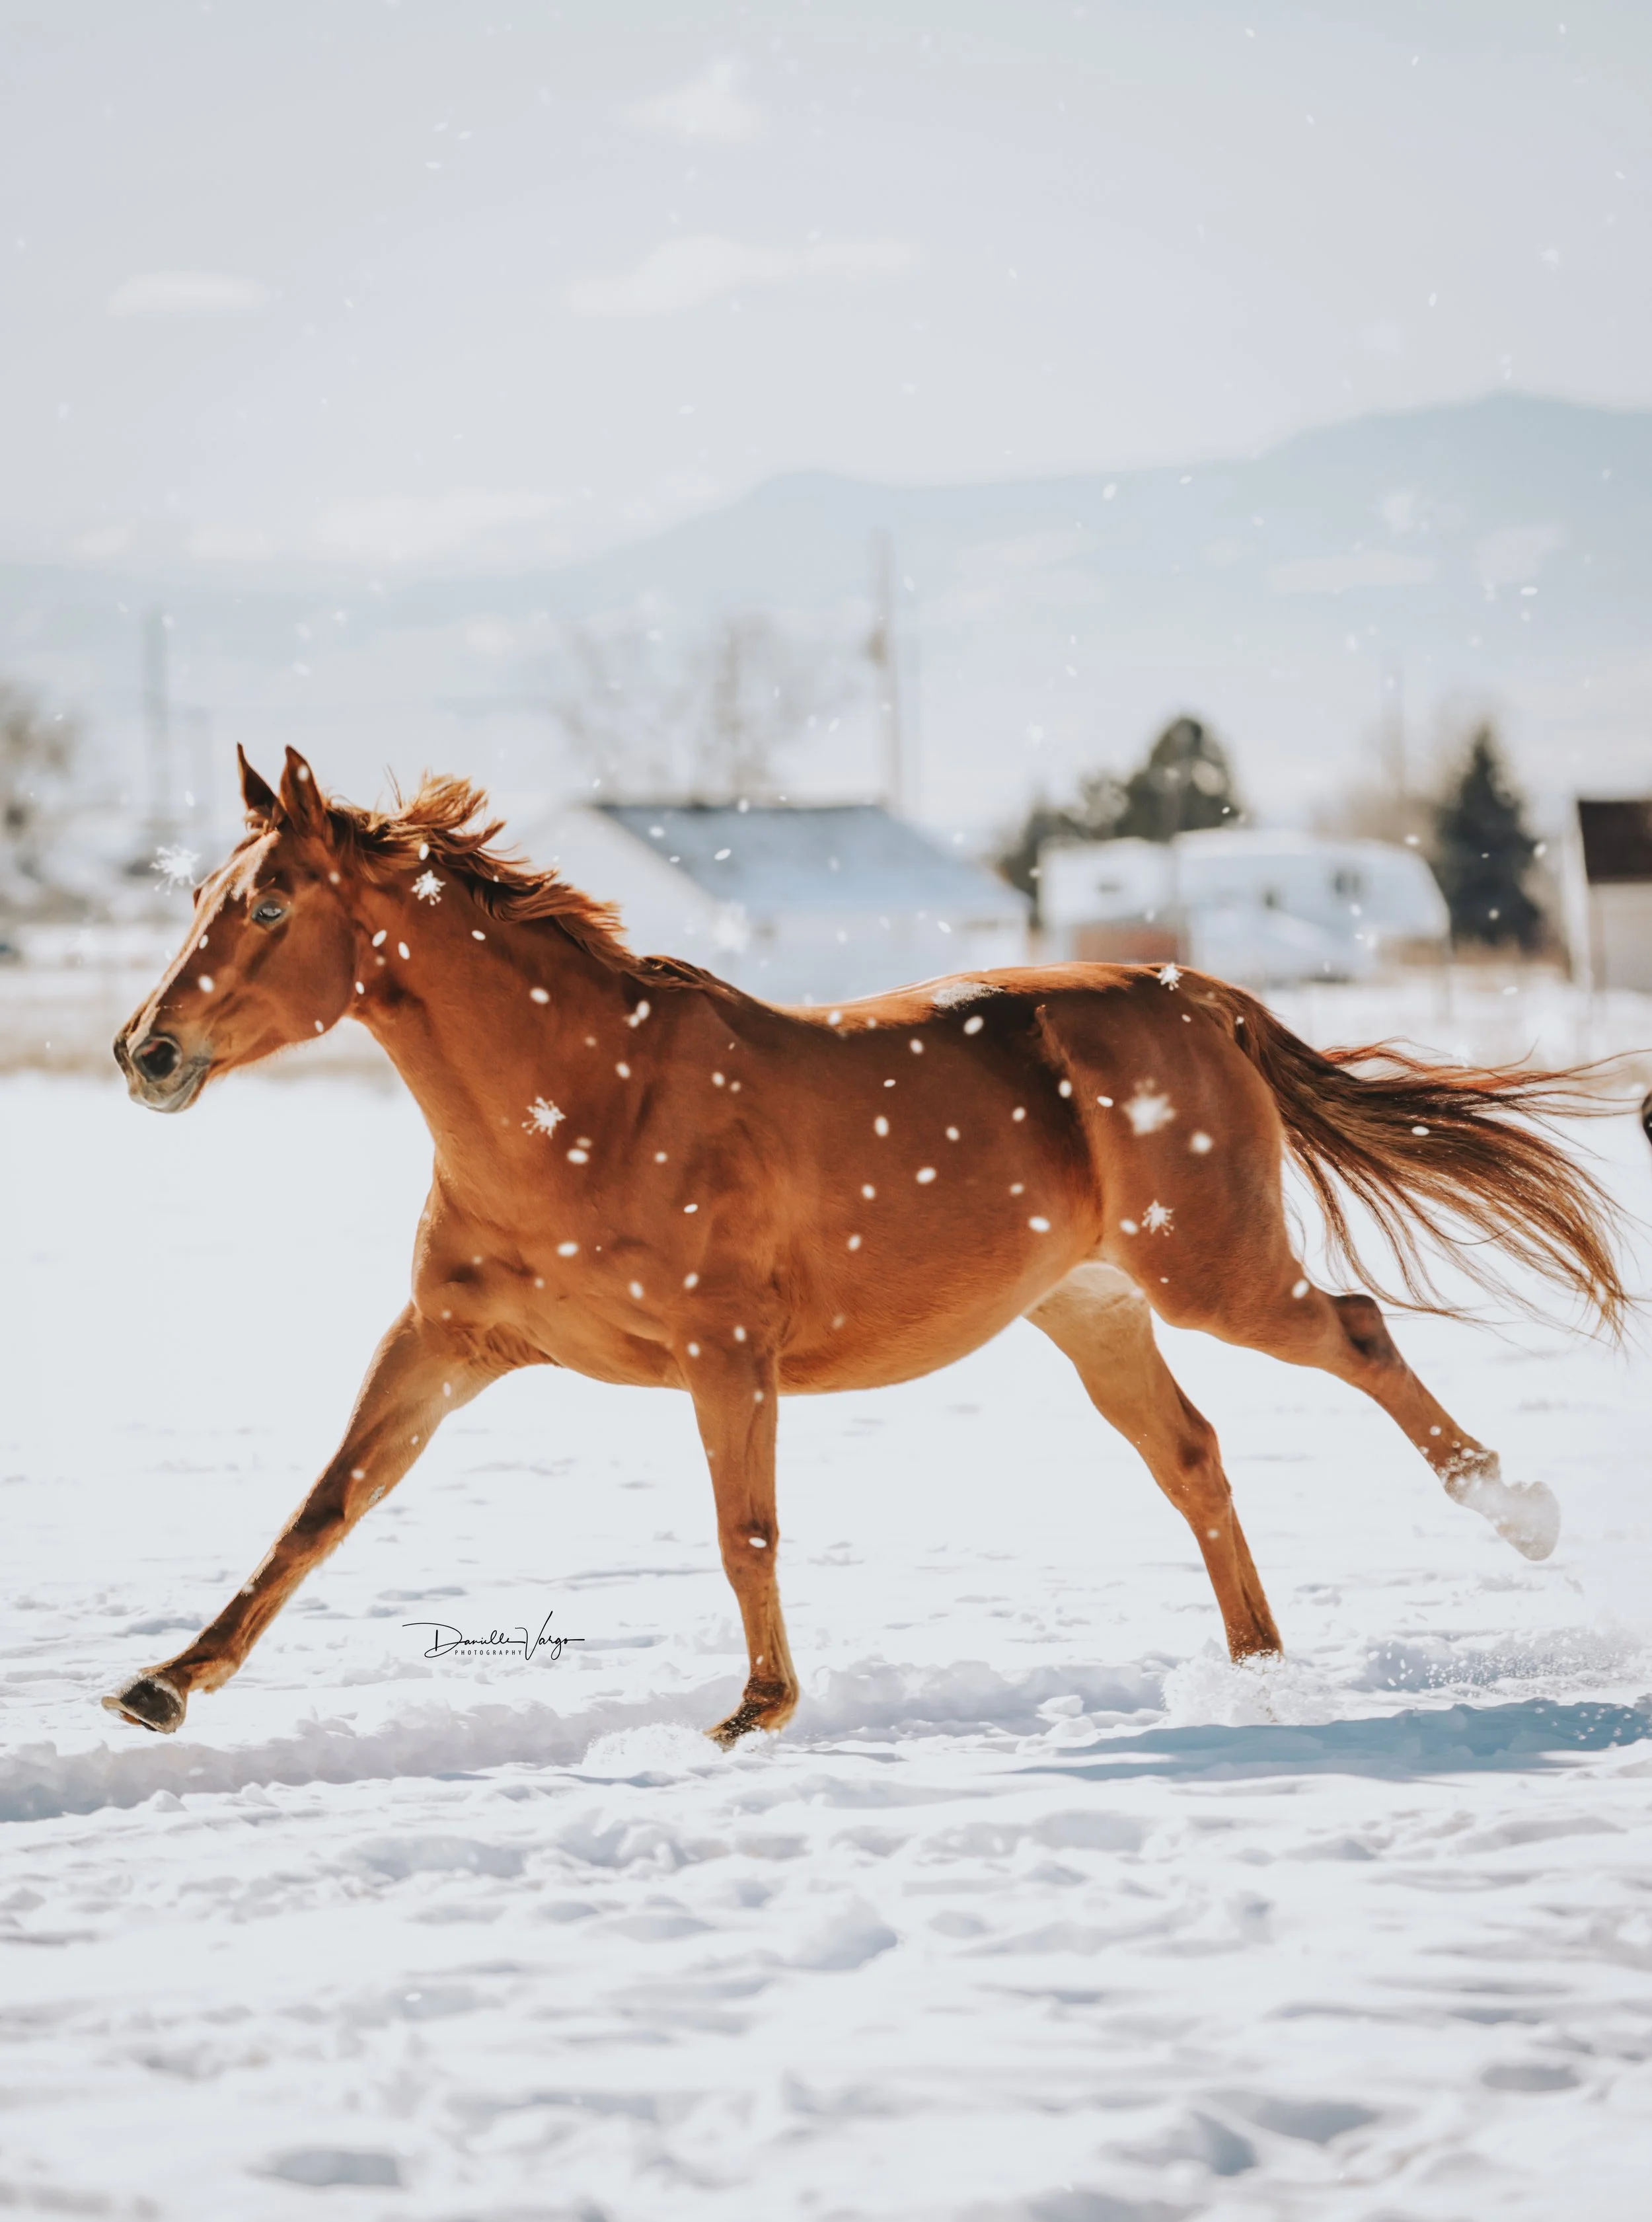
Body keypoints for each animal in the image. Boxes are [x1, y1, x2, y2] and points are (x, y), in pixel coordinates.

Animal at [104, 748, 1627, 1747]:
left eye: (270, 902)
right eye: (203, 895)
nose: (144, 1053)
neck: (583, 1102)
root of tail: (1182, 987)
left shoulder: (725, 1350)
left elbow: (745, 1528)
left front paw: (755, 1710)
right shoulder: (445, 1339)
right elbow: (321, 1508)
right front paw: (164, 1682)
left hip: (1211, 1273)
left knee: (1356, 1330)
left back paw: (1522, 1513)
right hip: (1091, 1307)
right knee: (1191, 1455)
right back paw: (1254, 1672)